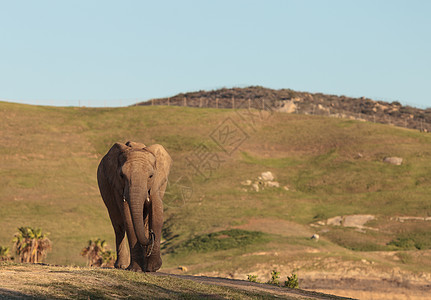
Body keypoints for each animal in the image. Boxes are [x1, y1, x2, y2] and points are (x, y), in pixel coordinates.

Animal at [98, 141, 172, 272]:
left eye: (151, 176)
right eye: (122, 175)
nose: (152, 236)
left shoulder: (157, 184)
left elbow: (157, 212)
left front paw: (152, 268)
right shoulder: (117, 186)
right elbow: (127, 217)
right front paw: (136, 269)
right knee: (118, 226)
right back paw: (121, 266)